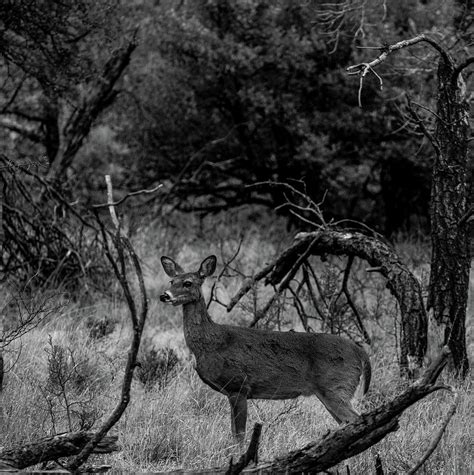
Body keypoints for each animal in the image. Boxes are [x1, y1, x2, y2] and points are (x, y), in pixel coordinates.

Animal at [161, 255, 372, 444]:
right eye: (172, 280)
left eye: (188, 283)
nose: (164, 295)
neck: (213, 342)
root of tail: (360, 352)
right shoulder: (232, 391)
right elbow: (233, 433)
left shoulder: (239, 385)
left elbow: (239, 436)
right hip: (332, 390)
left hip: (337, 385)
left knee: (357, 420)